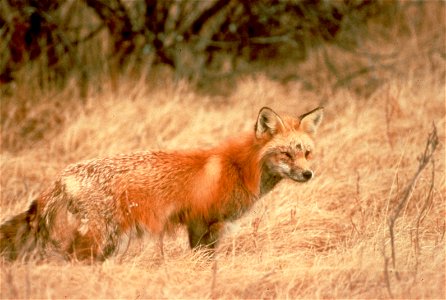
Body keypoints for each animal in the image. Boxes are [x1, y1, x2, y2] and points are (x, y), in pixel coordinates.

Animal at [1, 106, 326, 262]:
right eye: (286, 154)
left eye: (307, 153)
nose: (308, 174)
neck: (238, 167)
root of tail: (60, 177)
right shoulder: (202, 222)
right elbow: (204, 260)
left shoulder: (204, 225)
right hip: (98, 240)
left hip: (107, 243)